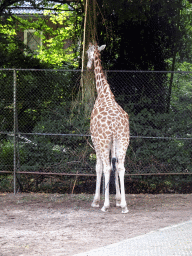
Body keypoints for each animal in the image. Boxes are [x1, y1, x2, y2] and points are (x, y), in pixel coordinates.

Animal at [87, 43, 130, 213]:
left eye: (88, 53)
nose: (87, 65)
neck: (103, 92)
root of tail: (115, 123)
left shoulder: (96, 139)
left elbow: (99, 167)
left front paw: (97, 200)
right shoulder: (112, 142)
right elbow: (115, 165)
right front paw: (117, 200)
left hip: (104, 140)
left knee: (106, 167)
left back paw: (104, 205)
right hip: (123, 140)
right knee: (121, 167)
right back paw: (124, 205)